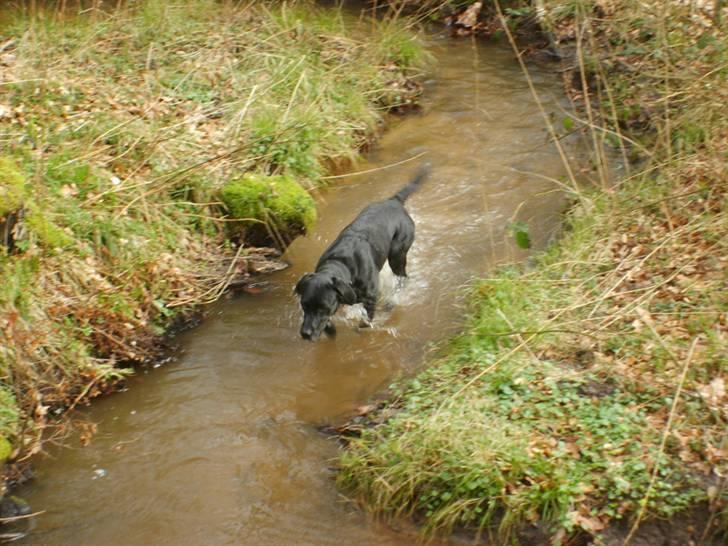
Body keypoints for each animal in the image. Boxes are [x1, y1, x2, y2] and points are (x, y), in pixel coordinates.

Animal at [296, 164, 430, 338]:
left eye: (323, 307)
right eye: (304, 305)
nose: (305, 333)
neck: (341, 262)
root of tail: (394, 201)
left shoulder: (371, 298)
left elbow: (366, 320)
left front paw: (360, 328)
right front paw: (330, 330)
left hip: (397, 255)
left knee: (403, 278)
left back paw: (392, 301)